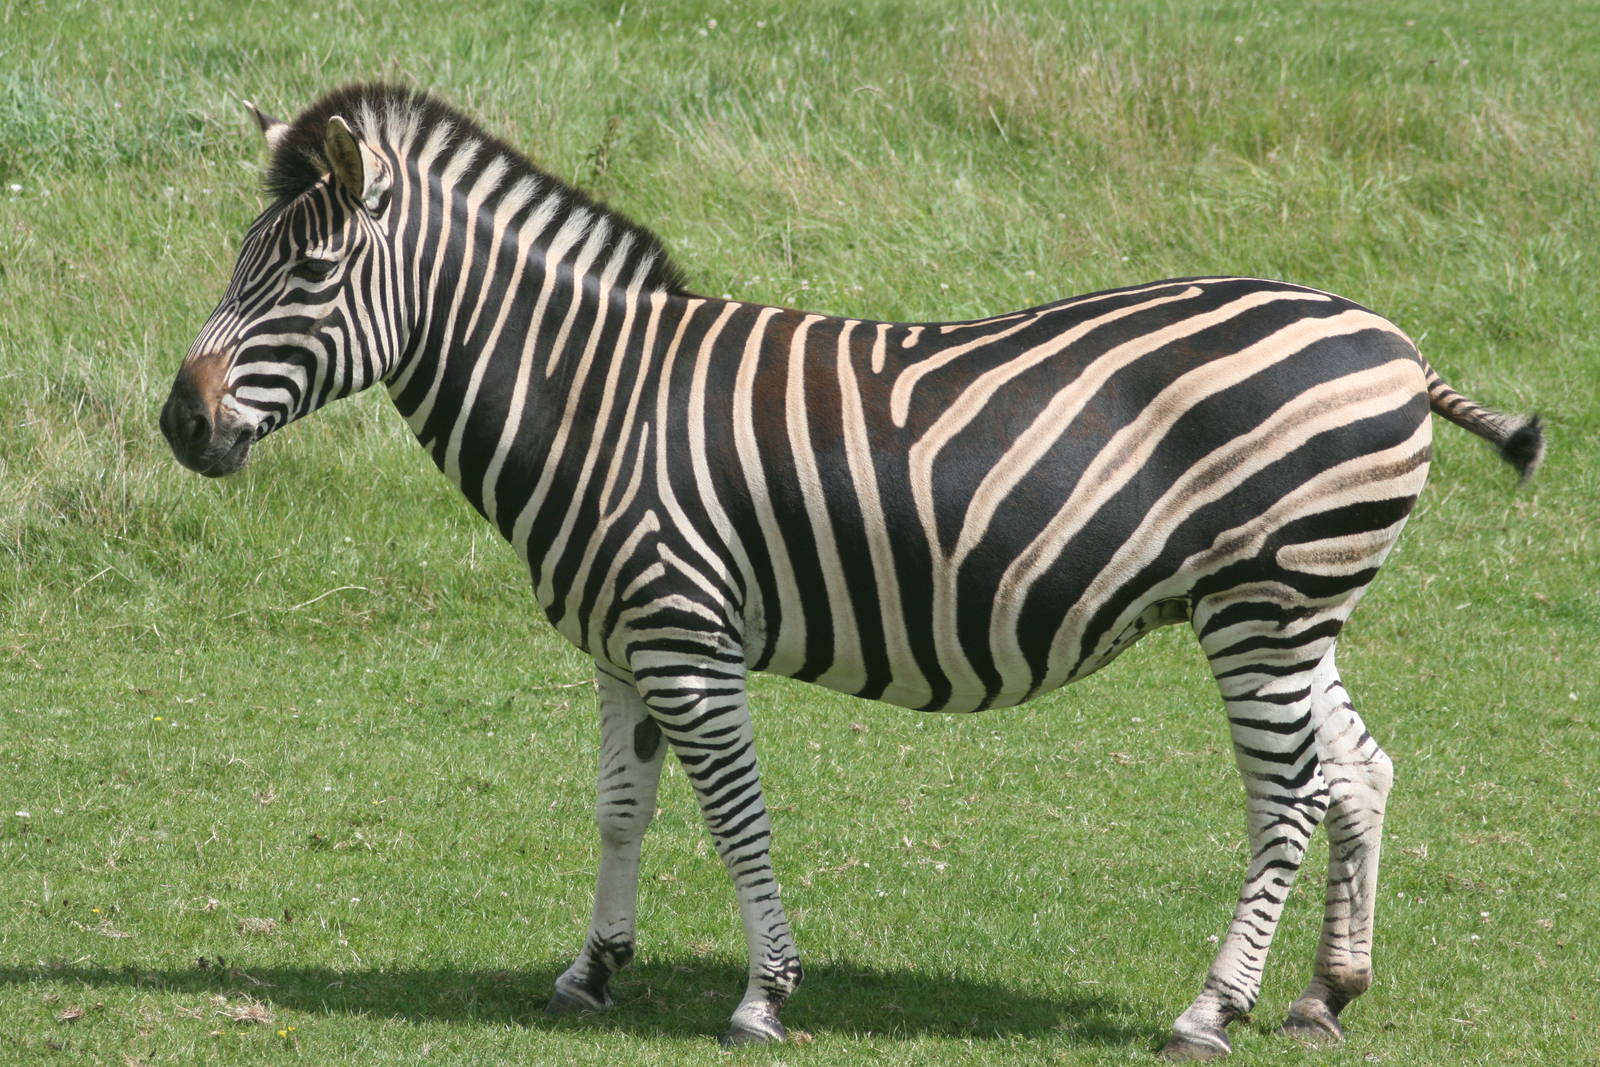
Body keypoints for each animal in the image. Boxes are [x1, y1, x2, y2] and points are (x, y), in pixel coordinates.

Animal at [160, 84, 1542, 1058]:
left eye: (310, 273)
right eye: (238, 256)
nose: (179, 423)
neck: (594, 402)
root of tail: (1394, 342)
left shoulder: (685, 634)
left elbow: (734, 812)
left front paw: (763, 996)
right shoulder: (619, 645)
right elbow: (621, 807)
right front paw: (592, 969)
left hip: (1265, 603)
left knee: (1286, 793)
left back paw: (1212, 1008)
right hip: (1288, 605)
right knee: (1357, 768)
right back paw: (1324, 993)